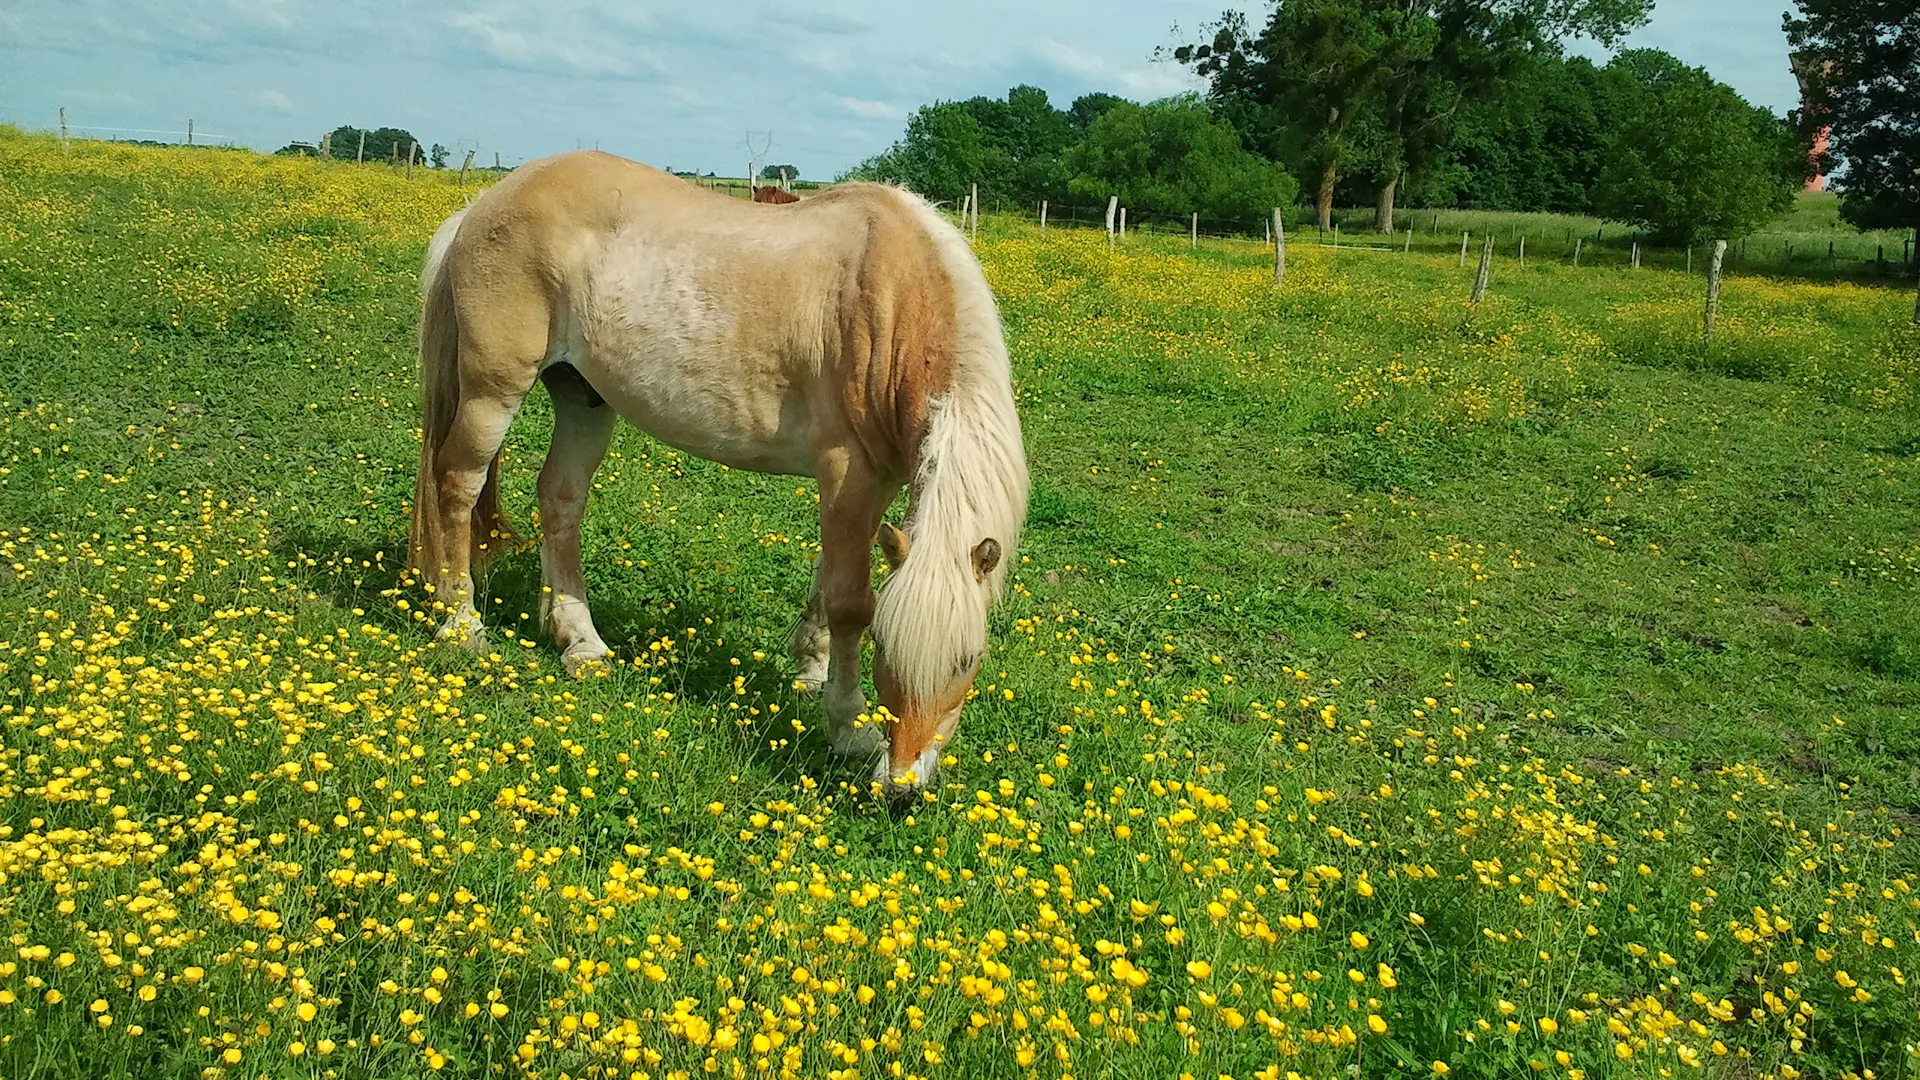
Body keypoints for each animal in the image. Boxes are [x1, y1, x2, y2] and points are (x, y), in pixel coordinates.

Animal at [410, 148, 1029, 799]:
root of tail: (480, 205)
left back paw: (580, 642)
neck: (893, 301)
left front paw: (809, 670)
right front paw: (849, 728)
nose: (903, 787)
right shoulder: (847, 474)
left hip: (583, 399)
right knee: (457, 486)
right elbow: (850, 603)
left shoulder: (873, 484)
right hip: (493, 391)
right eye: (886, 648)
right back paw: (460, 625)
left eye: (968, 660)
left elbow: (828, 581)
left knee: (560, 500)